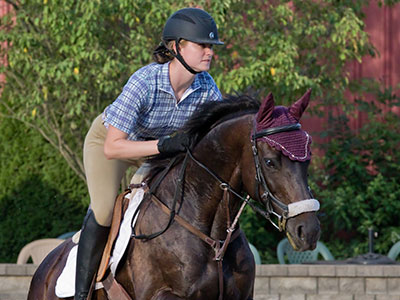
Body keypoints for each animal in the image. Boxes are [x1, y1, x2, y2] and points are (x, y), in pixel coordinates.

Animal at [28, 91, 320, 300]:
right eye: (270, 162)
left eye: (307, 160)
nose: (308, 231)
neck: (211, 236)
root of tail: (45, 267)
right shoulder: (164, 296)